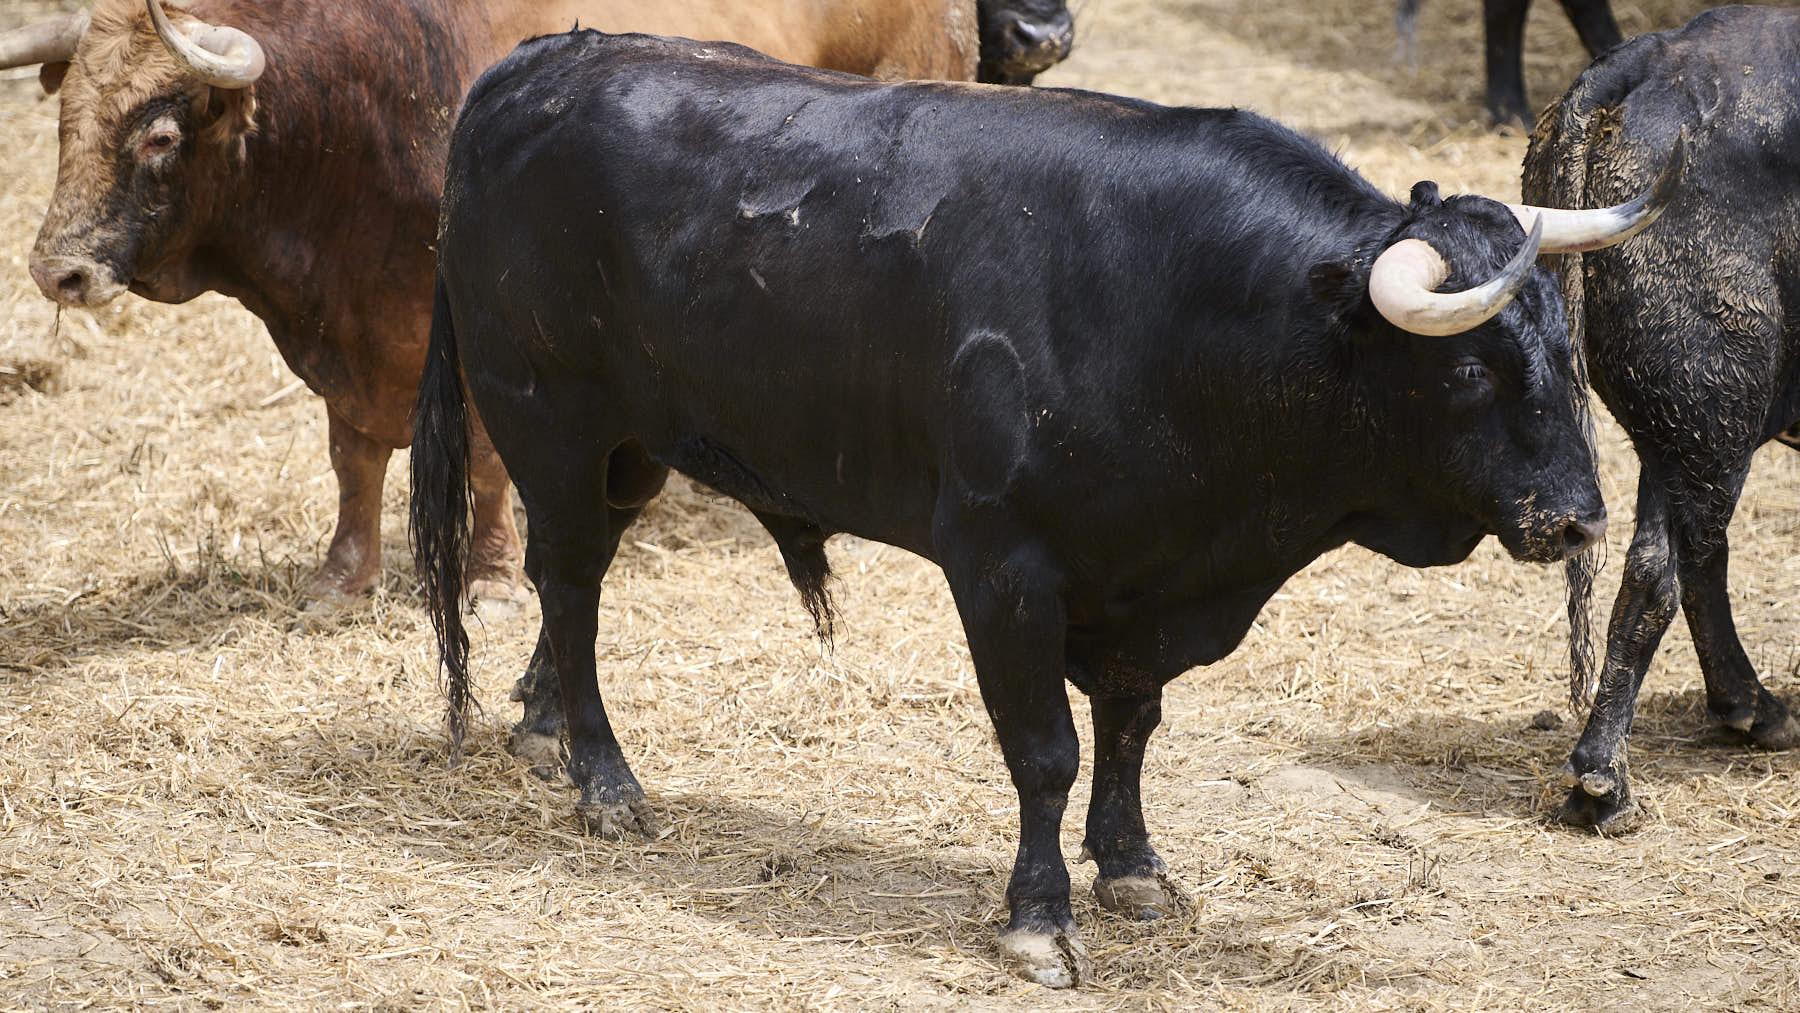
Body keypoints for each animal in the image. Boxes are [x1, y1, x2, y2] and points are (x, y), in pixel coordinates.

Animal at [421, 29, 1634, 993]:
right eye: (1470, 370)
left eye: (1566, 346)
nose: (1581, 521)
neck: (1185, 308)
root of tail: (537, 63)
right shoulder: (1003, 568)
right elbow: (1045, 749)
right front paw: (1038, 919)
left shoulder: (1150, 579)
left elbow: (1132, 727)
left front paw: (1135, 868)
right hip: (551, 429)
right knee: (570, 582)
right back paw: (605, 780)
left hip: (630, 454)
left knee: (573, 593)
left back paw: (545, 730)